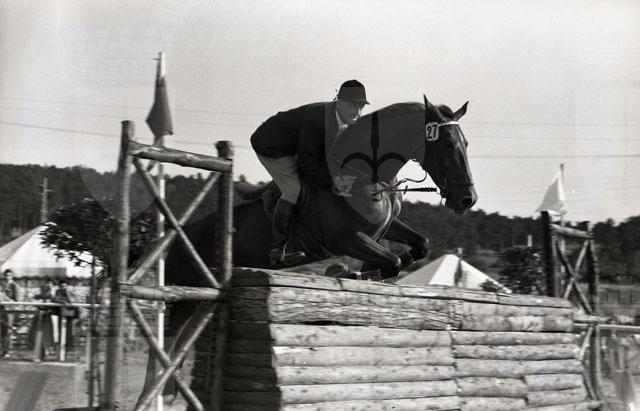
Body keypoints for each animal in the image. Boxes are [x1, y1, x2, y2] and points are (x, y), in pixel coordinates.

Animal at [145, 95, 477, 398]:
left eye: (466, 143)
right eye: (448, 145)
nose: (467, 200)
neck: (365, 175)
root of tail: (180, 234)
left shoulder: (385, 227)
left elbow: (420, 246)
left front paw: (363, 273)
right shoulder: (347, 239)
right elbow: (391, 261)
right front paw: (351, 272)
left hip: (201, 297)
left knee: (180, 340)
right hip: (186, 293)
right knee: (169, 339)